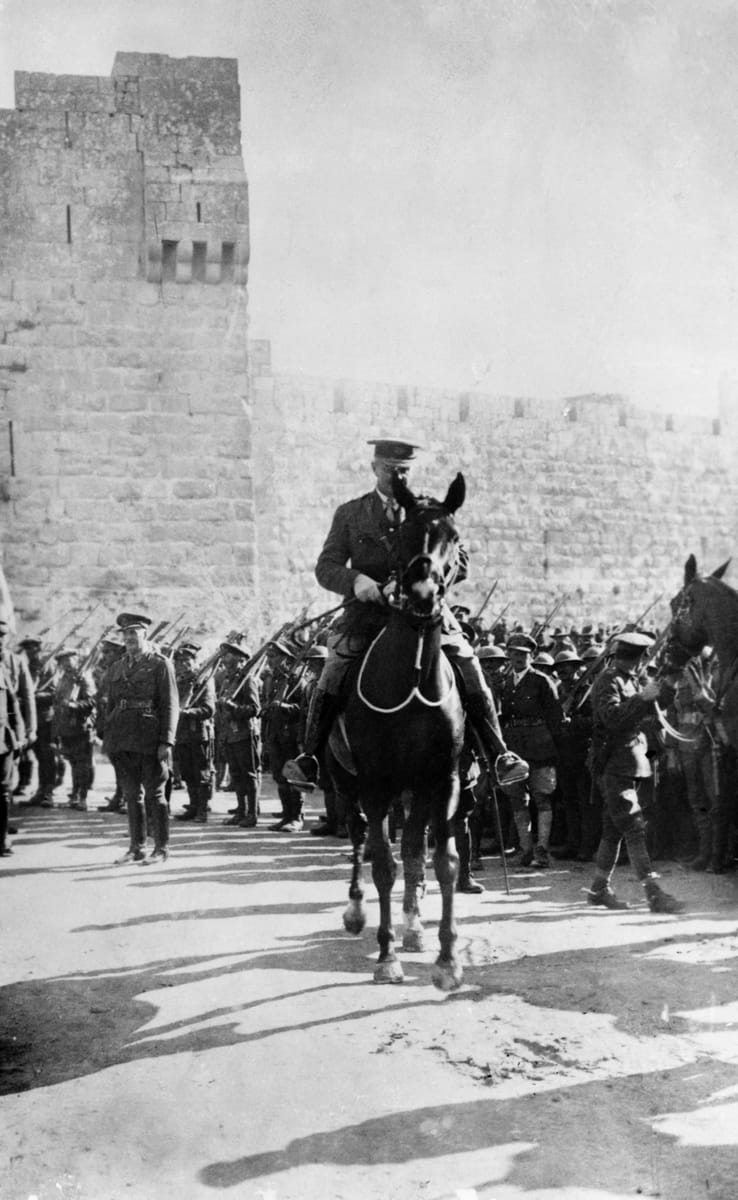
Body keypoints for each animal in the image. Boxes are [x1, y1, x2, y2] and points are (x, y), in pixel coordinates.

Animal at [331, 472, 468, 988]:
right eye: (403, 536)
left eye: (454, 537)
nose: (424, 593)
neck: (410, 678)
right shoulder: (376, 782)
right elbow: (384, 864)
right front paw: (387, 955)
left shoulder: (442, 780)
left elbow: (443, 861)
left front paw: (447, 958)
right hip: (344, 781)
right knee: (359, 838)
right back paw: (357, 912)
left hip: (415, 791)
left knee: (411, 847)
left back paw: (414, 925)